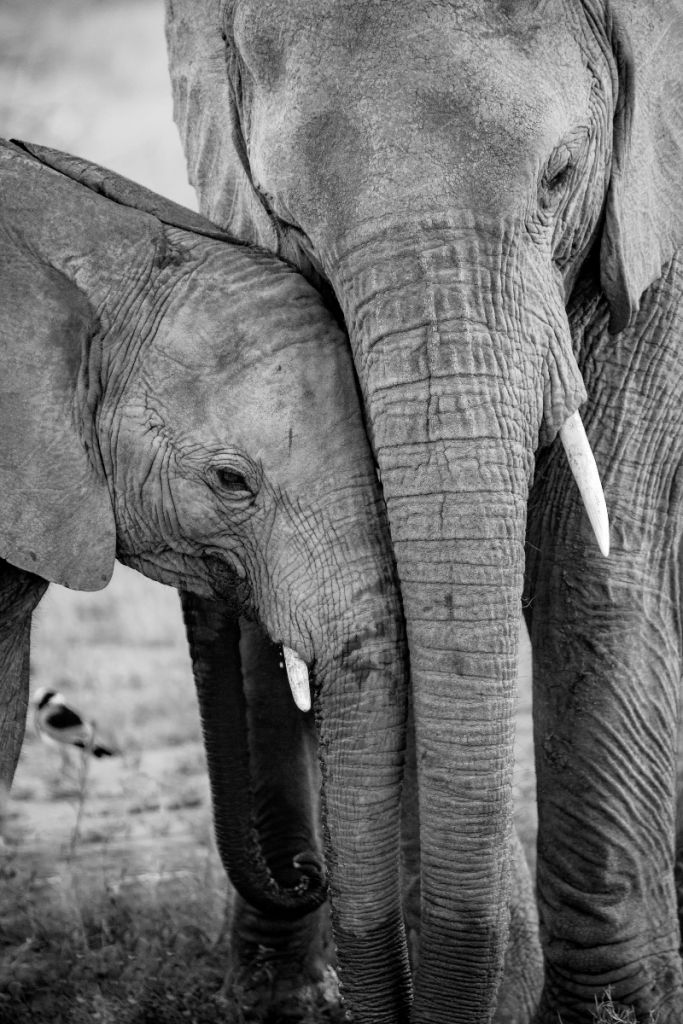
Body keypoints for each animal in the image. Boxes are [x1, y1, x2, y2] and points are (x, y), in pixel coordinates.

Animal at [165, 4, 683, 1019]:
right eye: (289, 220)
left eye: (560, 176)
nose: (310, 874)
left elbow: (583, 556)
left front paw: (610, 1010)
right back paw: (278, 989)